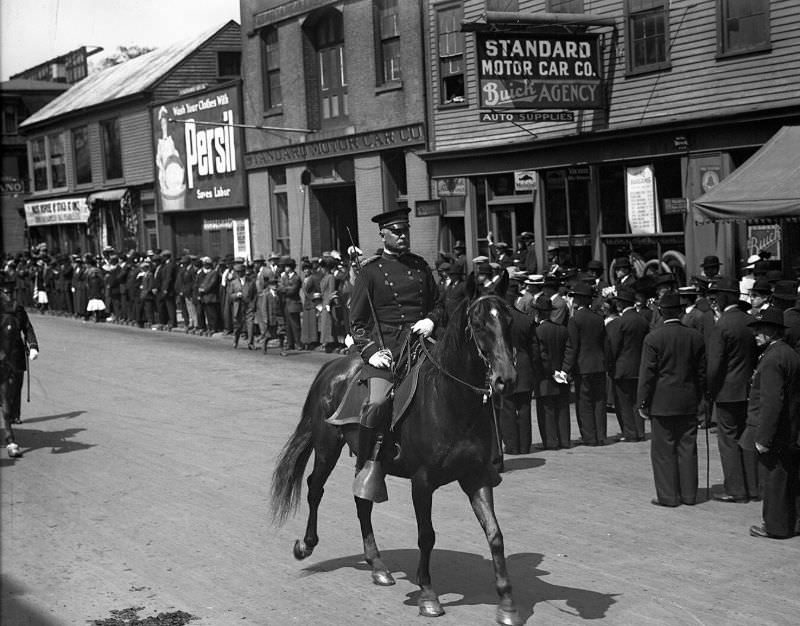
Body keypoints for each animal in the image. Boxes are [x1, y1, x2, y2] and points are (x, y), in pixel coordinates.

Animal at [268, 274, 520, 624]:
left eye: (510, 320)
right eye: (480, 323)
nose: (506, 379)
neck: (451, 399)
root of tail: (334, 365)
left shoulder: (477, 476)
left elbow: (495, 535)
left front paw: (507, 604)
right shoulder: (422, 482)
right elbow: (426, 535)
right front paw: (428, 595)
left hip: (363, 457)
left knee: (362, 501)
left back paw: (377, 565)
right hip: (327, 446)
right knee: (315, 487)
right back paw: (306, 545)